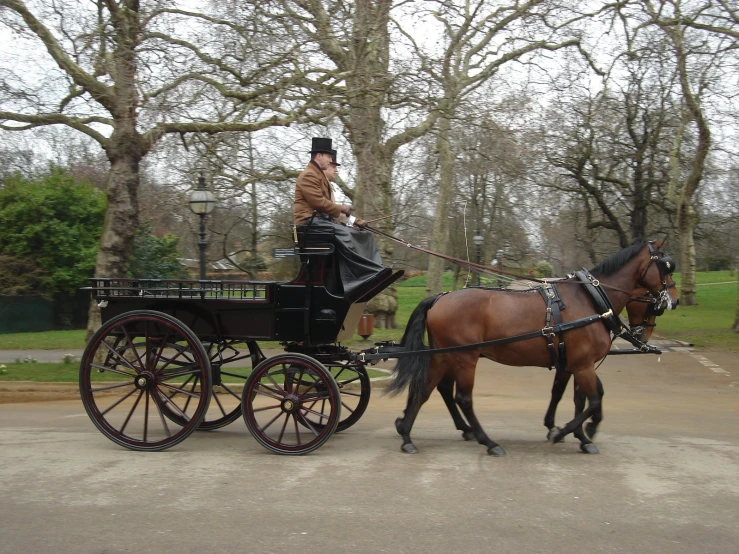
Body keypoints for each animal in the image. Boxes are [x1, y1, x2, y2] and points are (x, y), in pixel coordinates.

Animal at [390, 236, 680, 452]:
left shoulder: (574, 364)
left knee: (426, 389)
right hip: (464, 358)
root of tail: (440, 298)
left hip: (444, 355)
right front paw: (568, 431)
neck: (590, 299)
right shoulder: (583, 365)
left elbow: (575, 397)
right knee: (462, 398)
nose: (674, 301)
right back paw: (487, 441)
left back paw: (407, 435)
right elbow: (594, 400)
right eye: (666, 266)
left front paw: (579, 434)